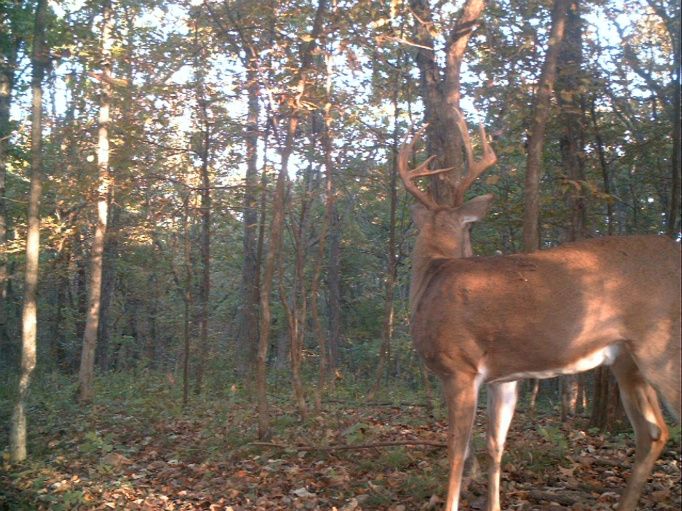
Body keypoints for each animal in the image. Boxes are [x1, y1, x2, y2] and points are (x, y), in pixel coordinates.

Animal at [398, 112, 680, 511]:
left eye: (469, 228)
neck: (431, 275)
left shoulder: (459, 369)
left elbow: (457, 452)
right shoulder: (504, 378)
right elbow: (494, 446)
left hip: (663, 346)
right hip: (628, 360)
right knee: (653, 431)